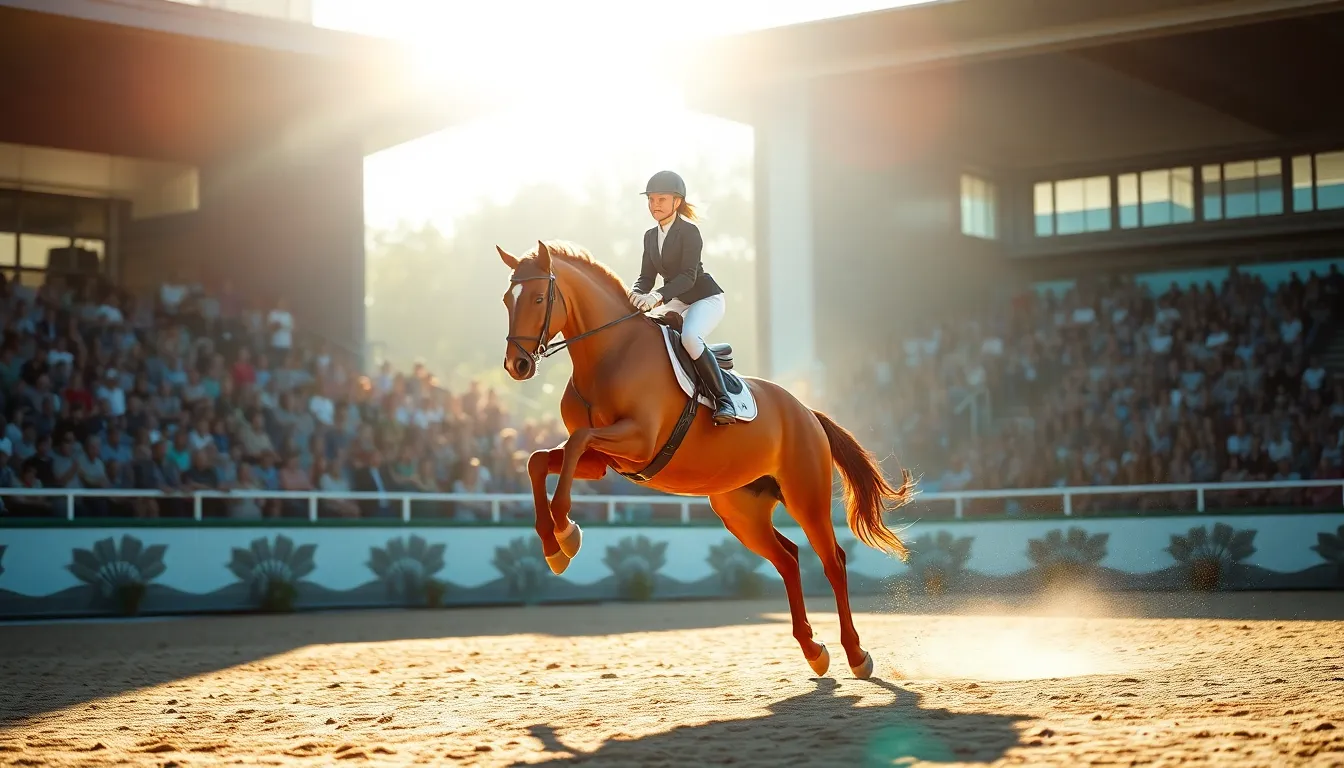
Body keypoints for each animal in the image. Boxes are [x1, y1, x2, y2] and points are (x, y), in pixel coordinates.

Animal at [496, 239, 915, 678]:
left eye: (538, 297)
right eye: (507, 299)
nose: (517, 365)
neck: (610, 354)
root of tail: (806, 412)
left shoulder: (637, 442)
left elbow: (575, 443)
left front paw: (566, 533)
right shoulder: (604, 461)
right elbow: (540, 460)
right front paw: (553, 544)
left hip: (806, 498)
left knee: (833, 561)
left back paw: (856, 655)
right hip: (740, 512)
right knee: (787, 559)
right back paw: (813, 651)